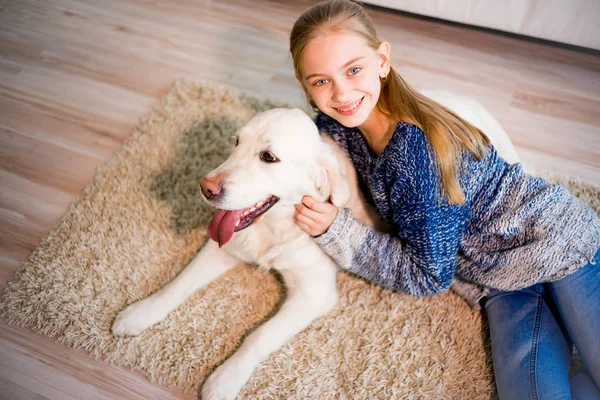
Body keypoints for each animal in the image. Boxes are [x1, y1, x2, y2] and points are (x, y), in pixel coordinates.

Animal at [112, 91, 520, 400]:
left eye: (269, 157)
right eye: (236, 142)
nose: (206, 187)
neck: (274, 229)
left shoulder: (314, 293)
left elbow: (259, 335)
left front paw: (225, 378)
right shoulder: (226, 244)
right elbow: (178, 284)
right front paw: (140, 313)